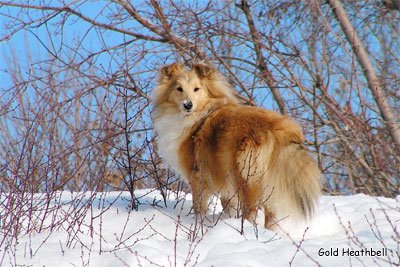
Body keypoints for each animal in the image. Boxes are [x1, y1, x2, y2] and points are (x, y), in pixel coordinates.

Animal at [151, 62, 322, 228]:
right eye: (179, 89)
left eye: (196, 89)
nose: (187, 105)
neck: (196, 116)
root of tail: (278, 128)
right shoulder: (224, 184)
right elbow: (228, 206)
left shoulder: (197, 175)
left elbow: (199, 207)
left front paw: (198, 226)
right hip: (265, 183)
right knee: (271, 217)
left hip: (243, 175)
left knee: (250, 211)